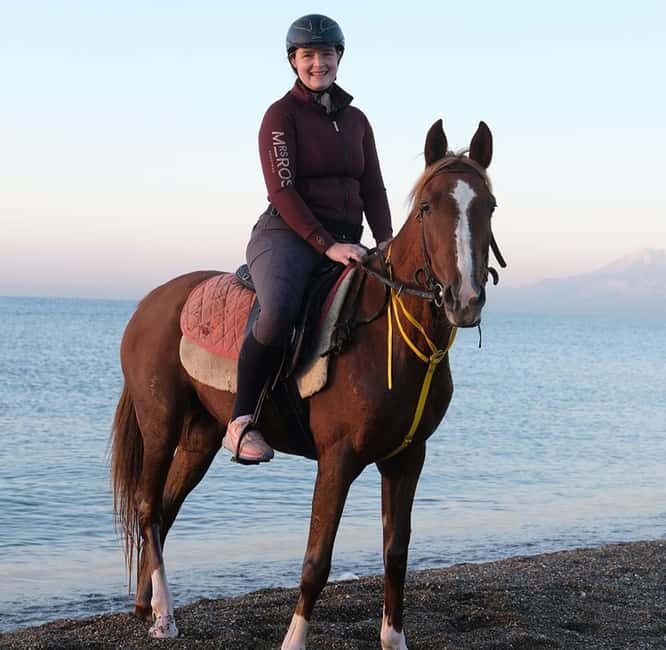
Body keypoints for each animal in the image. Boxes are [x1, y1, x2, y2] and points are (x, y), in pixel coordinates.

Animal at [110, 118, 499, 649]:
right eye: (426, 207)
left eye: (490, 206)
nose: (465, 299)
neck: (386, 335)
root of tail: (147, 304)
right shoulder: (337, 459)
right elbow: (316, 562)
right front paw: (293, 641)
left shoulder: (406, 459)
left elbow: (395, 556)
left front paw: (393, 639)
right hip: (160, 423)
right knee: (149, 508)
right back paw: (165, 616)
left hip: (200, 436)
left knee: (165, 510)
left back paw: (148, 605)